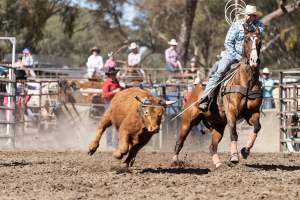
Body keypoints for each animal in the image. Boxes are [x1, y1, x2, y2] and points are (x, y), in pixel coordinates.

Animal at [172, 25, 262, 168]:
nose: (254, 61)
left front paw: (245, 151)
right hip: (188, 121)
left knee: (212, 146)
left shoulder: (253, 112)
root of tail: (195, 89)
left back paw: (219, 164)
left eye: (260, 42)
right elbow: (234, 133)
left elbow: (257, 127)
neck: (246, 82)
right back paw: (175, 161)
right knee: (179, 142)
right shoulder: (231, 112)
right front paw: (234, 157)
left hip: (218, 126)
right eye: (247, 40)